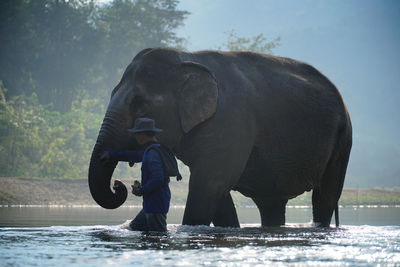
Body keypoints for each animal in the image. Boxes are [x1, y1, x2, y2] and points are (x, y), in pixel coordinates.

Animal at [89, 47, 352, 228]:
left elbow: (209, 184)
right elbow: (217, 190)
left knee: (326, 195)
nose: (118, 185)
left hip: (342, 139)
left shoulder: (231, 121)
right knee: (271, 203)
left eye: (139, 103)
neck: (186, 59)